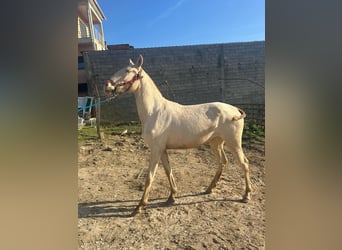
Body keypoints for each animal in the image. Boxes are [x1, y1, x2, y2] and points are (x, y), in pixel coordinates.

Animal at [104, 54, 251, 213]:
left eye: (127, 70)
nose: (107, 86)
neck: (155, 111)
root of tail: (235, 110)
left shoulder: (156, 150)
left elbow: (150, 176)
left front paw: (140, 205)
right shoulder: (162, 150)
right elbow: (168, 171)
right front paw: (172, 196)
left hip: (233, 143)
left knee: (244, 164)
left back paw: (246, 195)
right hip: (216, 143)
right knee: (223, 162)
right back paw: (209, 189)